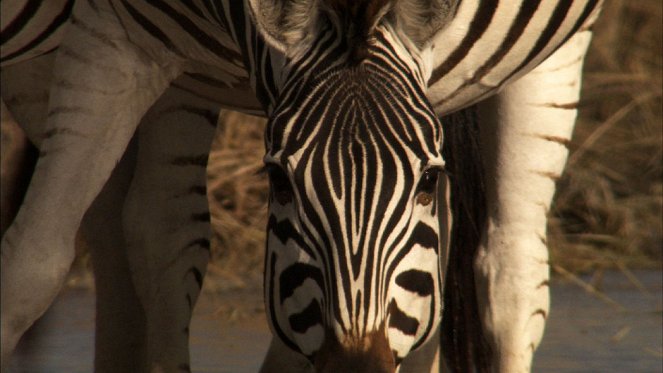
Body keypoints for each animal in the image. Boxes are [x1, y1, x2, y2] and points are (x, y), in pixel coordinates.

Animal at [0, 0, 604, 370]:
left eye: (429, 179)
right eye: (278, 179)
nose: (357, 371)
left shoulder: (550, 50)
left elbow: (503, 285)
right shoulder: (113, 36)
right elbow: (30, 268)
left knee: (510, 273)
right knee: (155, 236)